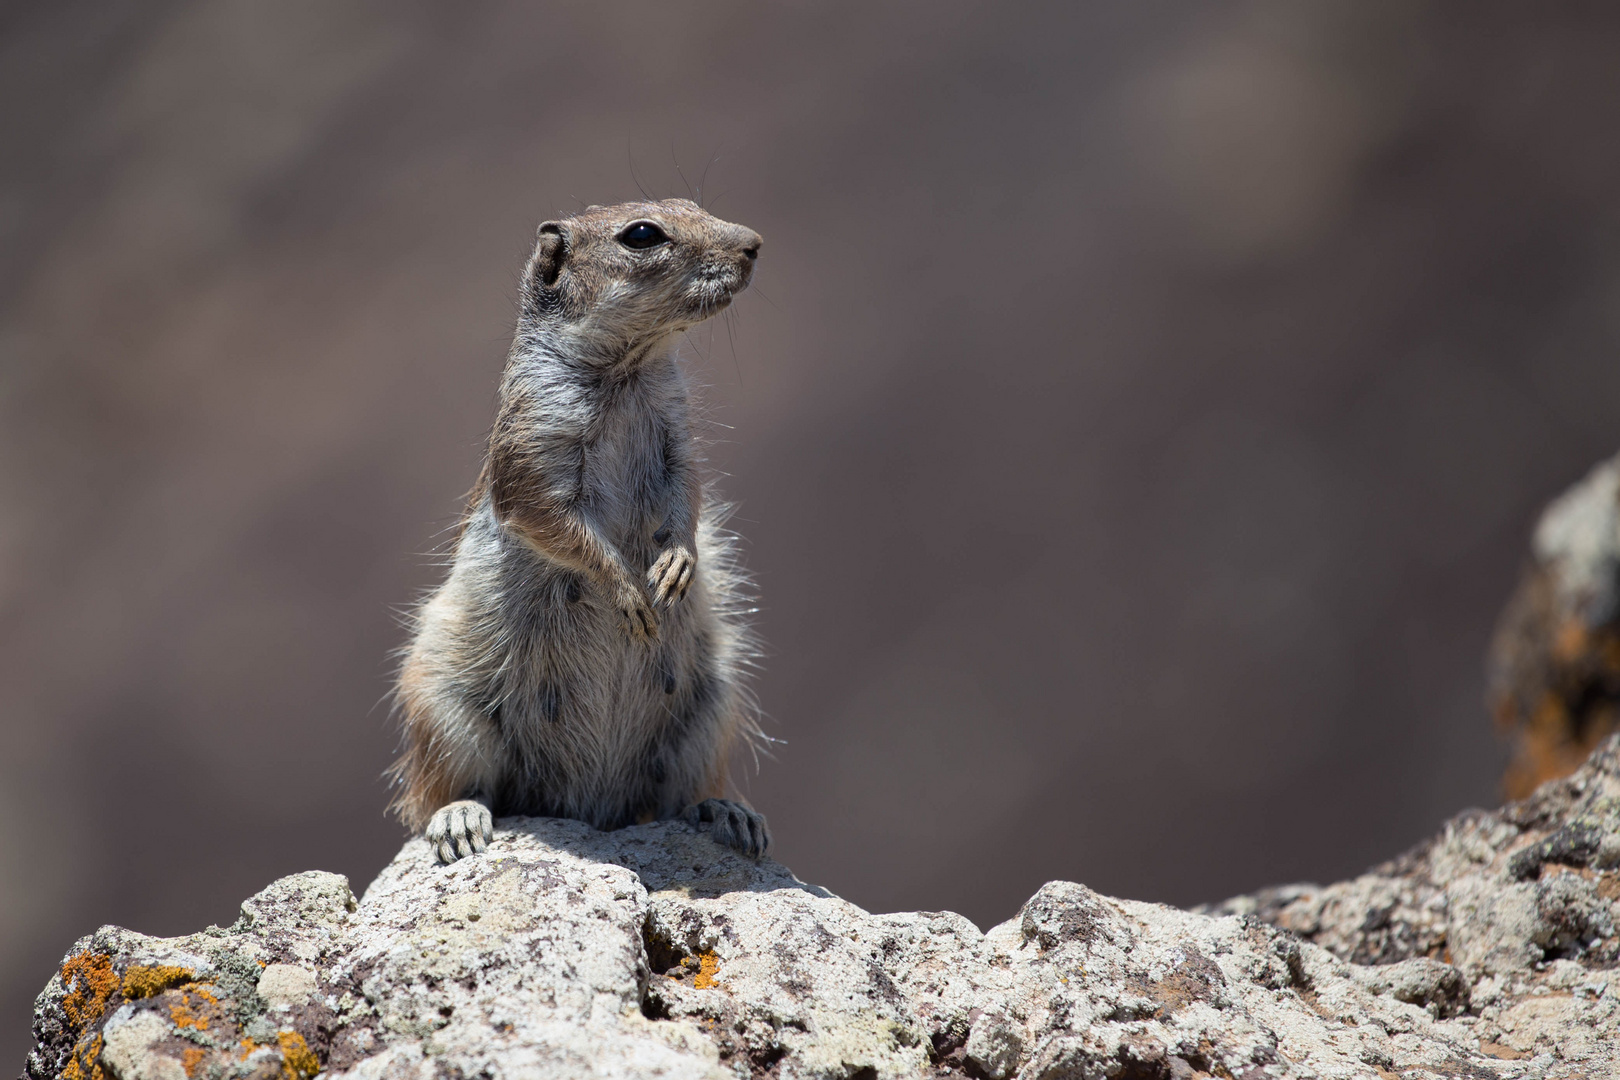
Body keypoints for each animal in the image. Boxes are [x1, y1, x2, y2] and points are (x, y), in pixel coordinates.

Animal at [392, 198, 771, 867]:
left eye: (693, 205)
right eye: (642, 235)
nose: (753, 243)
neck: (630, 371)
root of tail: (587, 805)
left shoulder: (678, 436)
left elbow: (688, 494)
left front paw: (677, 564)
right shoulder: (532, 444)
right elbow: (554, 520)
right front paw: (629, 593)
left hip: (710, 708)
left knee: (677, 796)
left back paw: (728, 813)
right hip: (442, 705)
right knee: (445, 789)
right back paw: (458, 820)